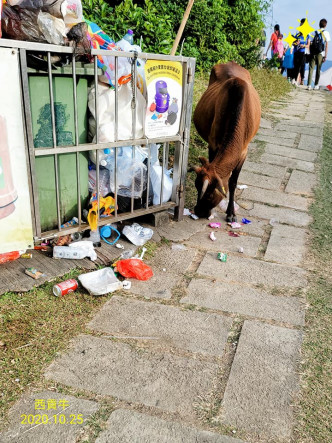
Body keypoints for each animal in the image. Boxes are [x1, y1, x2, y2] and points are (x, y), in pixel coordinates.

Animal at [191, 61, 260, 221]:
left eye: (209, 195)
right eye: (196, 186)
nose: (198, 211)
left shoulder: (244, 151)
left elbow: (233, 182)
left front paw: (231, 212)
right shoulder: (213, 144)